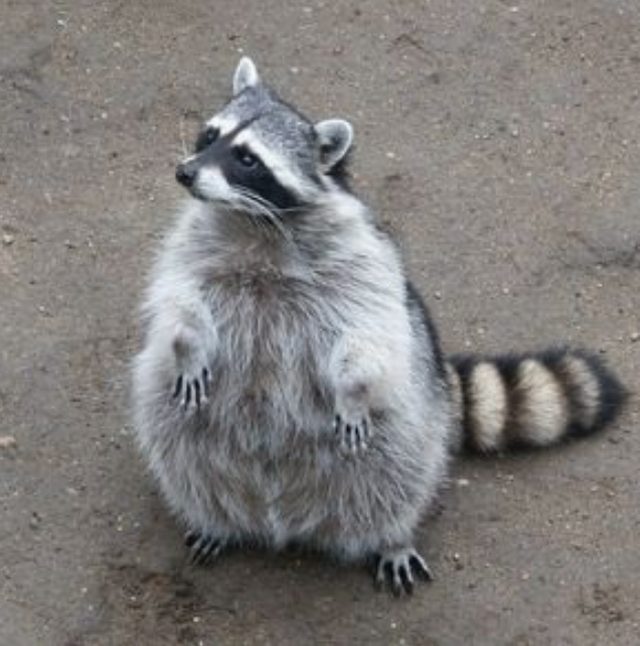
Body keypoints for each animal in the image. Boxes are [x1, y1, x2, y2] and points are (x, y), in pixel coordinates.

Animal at [132, 57, 626, 594]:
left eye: (248, 159)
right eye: (210, 135)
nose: (185, 172)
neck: (254, 222)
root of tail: (279, 517)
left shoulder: (362, 261)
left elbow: (367, 333)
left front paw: (352, 390)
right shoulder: (191, 246)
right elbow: (177, 301)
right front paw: (187, 345)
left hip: (410, 420)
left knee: (398, 474)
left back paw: (392, 535)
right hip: (182, 423)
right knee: (182, 450)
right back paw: (214, 516)